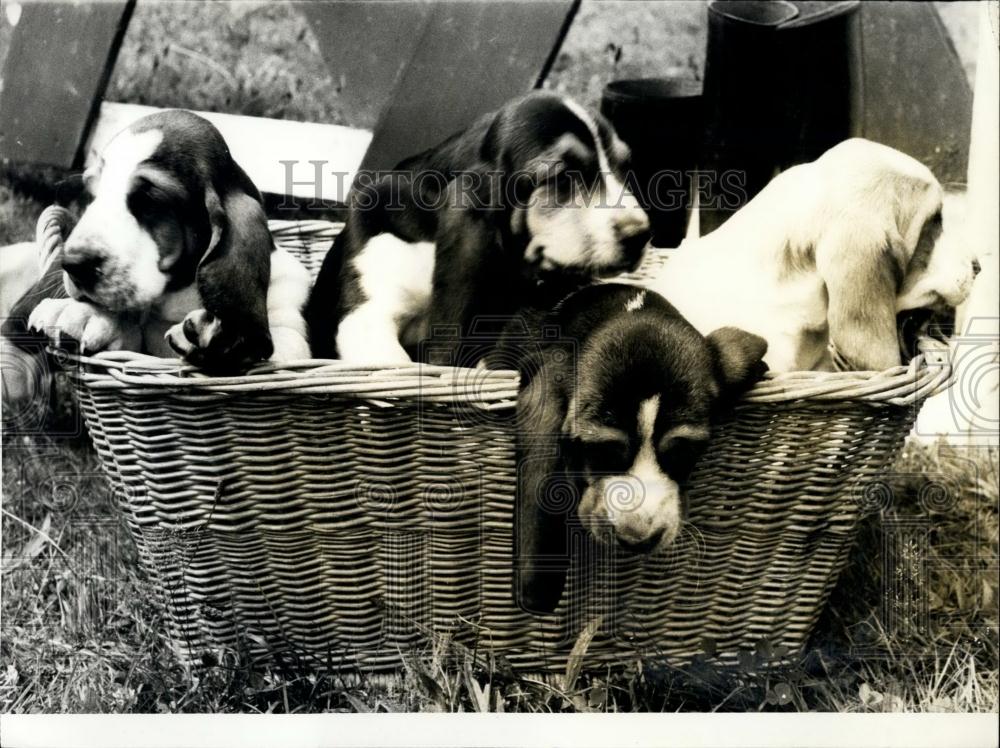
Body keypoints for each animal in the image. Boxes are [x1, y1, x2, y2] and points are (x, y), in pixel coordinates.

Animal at [5, 109, 310, 372]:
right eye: (92, 196)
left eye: (149, 200)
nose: (74, 264)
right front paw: (81, 313)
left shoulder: (291, 341)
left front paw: (216, 338)